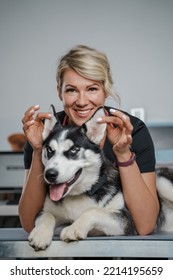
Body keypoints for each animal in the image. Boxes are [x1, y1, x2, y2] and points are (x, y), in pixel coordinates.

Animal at [28, 106, 173, 250]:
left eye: (74, 149)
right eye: (49, 150)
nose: (50, 174)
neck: (80, 193)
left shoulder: (127, 220)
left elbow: (93, 211)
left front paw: (74, 228)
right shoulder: (44, 212)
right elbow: (47, 215)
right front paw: (40, 233)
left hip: (161, 181)